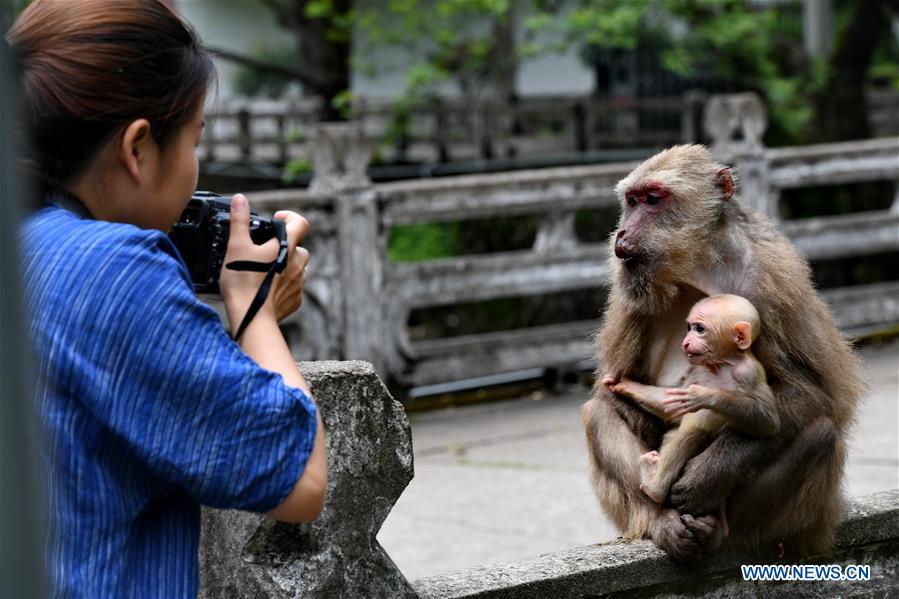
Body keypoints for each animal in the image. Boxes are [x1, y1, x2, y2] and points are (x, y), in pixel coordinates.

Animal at [602, 294, 777, 535]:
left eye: (700, 329)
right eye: (689, 327)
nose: (685, 342)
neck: (721, 365)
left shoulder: (748, 372)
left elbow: (768, 421)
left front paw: (704, 396)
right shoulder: (699, 369)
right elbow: (670, 403)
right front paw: (624, 385)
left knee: (696, 427)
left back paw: (655, 486)